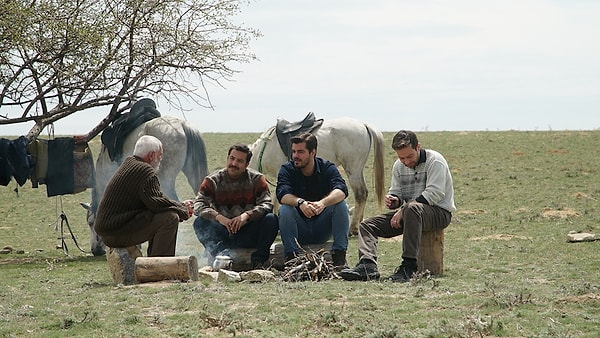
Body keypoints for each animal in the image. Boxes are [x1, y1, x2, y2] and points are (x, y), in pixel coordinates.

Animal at [247, 117, 384, 234]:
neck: (265, 149)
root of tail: (364, 125)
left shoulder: (279, 173)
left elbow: (276, 199)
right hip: (358, 170)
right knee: (364, 193)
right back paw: (359, 223)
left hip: (352, 170)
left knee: (360, 194)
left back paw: (353, 228)